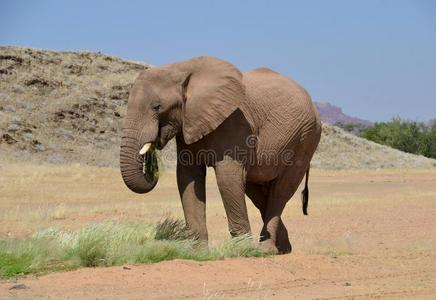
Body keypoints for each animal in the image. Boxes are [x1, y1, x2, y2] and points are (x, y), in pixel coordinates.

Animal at [119, 56, 320, 253]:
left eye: (157, 107)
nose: (151, 160)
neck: (181, 69)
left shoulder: (235, 121)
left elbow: (227, 177)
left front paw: (243, 250)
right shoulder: (189, 122)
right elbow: (188, 177)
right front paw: (198, 253)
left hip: (305, 138)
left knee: (280, 190)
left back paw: (266, 250)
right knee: (256, 190)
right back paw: (283, 248)